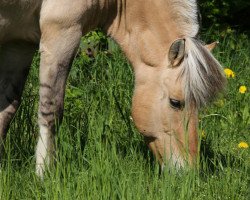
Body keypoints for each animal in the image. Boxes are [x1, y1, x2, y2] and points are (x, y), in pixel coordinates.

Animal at [0, 0, 226, 177]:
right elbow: (51, 111)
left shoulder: (20, 44)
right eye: (175, 102)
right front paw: (44, 174)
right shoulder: (61, 35)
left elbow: (7, 108)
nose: (188, 172)